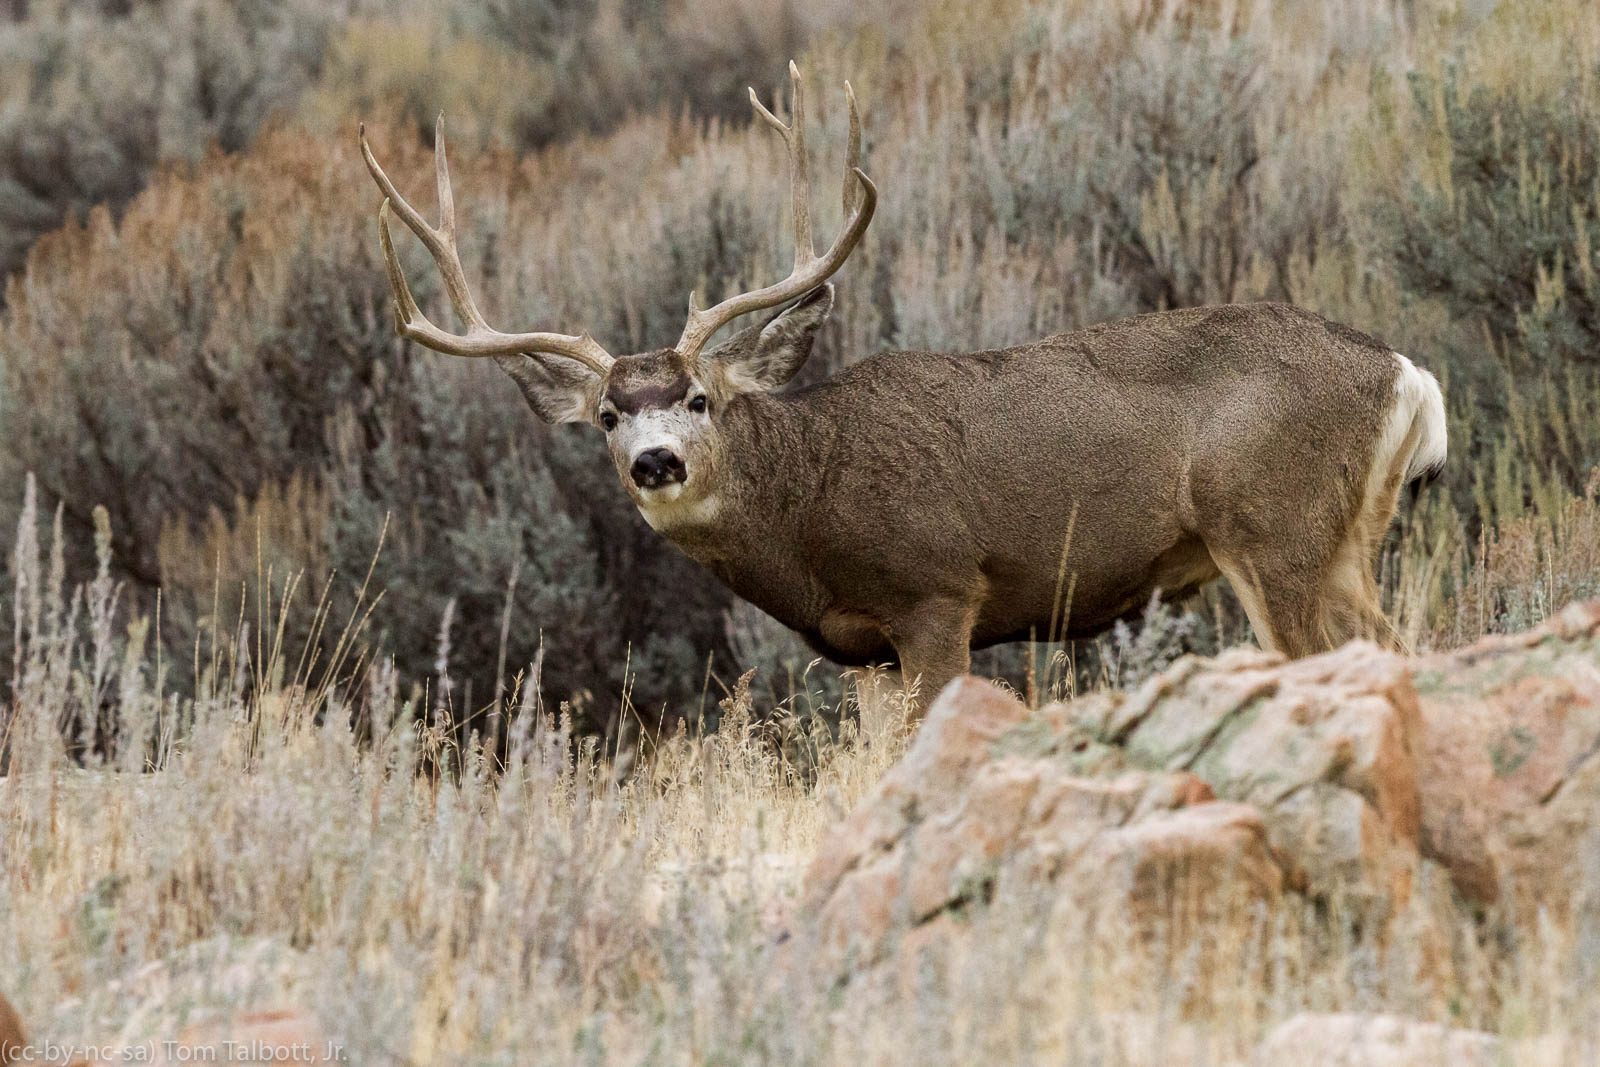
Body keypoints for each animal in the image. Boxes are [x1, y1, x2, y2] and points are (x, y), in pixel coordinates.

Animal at [358, 62, 1447, 717]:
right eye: (606, 416)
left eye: (702, 397)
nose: (657, 460)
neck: (810, 510)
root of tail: (1408, 372)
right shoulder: (866, 652)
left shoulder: (938, 591)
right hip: (1336, 535)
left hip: (1274, 525)